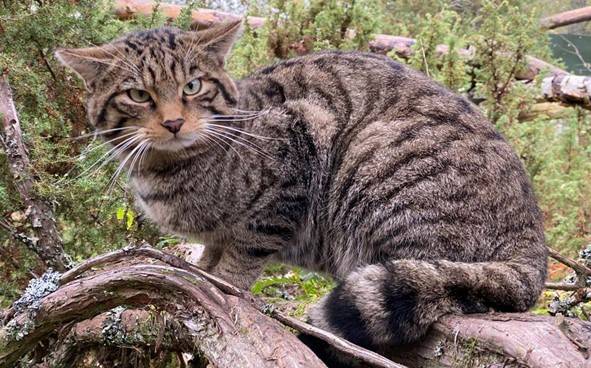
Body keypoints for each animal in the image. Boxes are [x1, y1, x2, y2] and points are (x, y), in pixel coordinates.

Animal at [57, 21, 548, 352]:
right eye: (138, 95)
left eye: (192, 86)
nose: (174, 122)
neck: (170, 170)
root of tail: (533, 241)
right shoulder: (215, 230)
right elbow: (211, 253)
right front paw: (198, 270)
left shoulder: (298, 145)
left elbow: (241, 259)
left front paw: (223, 288)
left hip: (376, 163)